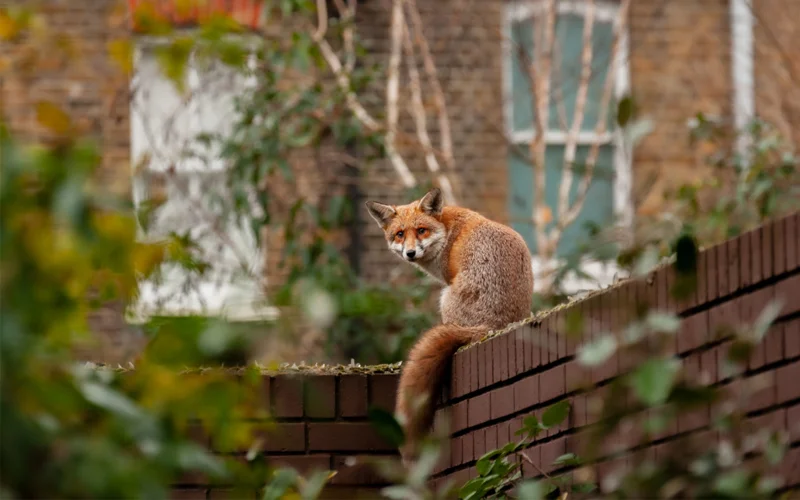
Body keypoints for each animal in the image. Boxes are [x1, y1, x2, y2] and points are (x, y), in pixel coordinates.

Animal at [365, 187, 534, 463]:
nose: (410, 253)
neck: (447, 231)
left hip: (444, 299)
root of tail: (494, 325)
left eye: (421, 230)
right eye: (400, 234)